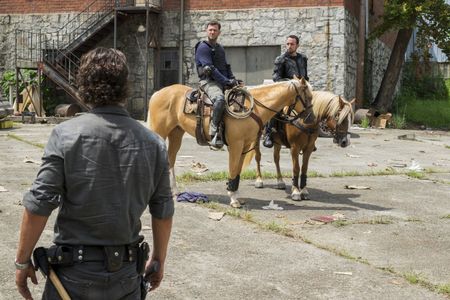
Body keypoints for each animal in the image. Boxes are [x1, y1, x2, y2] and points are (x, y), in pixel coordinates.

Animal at [148, 77, 312, 207]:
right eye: (308, 97)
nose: (311, 117)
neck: (253, 107)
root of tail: (157, 93)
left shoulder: (244, 146)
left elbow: (237, 170)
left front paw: (235, 194)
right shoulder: (235, 145)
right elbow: (233, 169)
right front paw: (233, 199)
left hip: (176, 133)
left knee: (170, 160)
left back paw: (175, 192)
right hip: (160, 132)